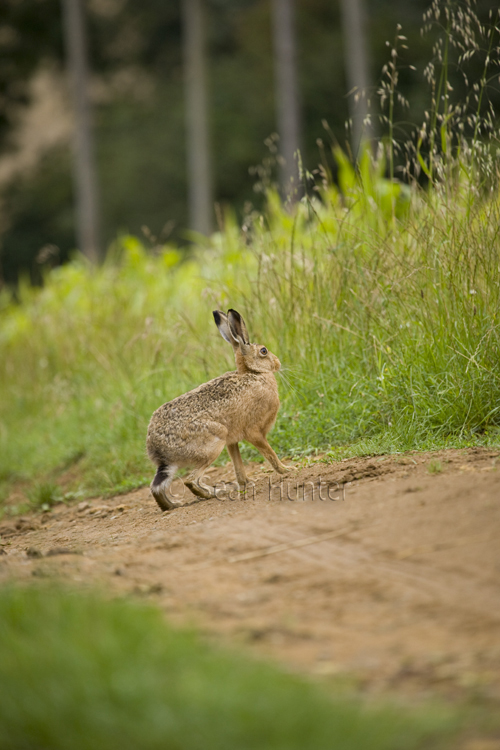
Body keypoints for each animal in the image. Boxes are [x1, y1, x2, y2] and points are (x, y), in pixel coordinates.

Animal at [146, 308, 290, 510]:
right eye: (263, 351)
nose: (277, 363)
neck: (254, 373)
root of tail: (158, 449)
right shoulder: (254, 432)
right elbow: (269, 453)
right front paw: (287, 470)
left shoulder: (232, 441)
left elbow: (238, 465)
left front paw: (247, 483)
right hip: (214, 443)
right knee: (190, 480)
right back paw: (216, 493)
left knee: (157, 488)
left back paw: (173, 505)